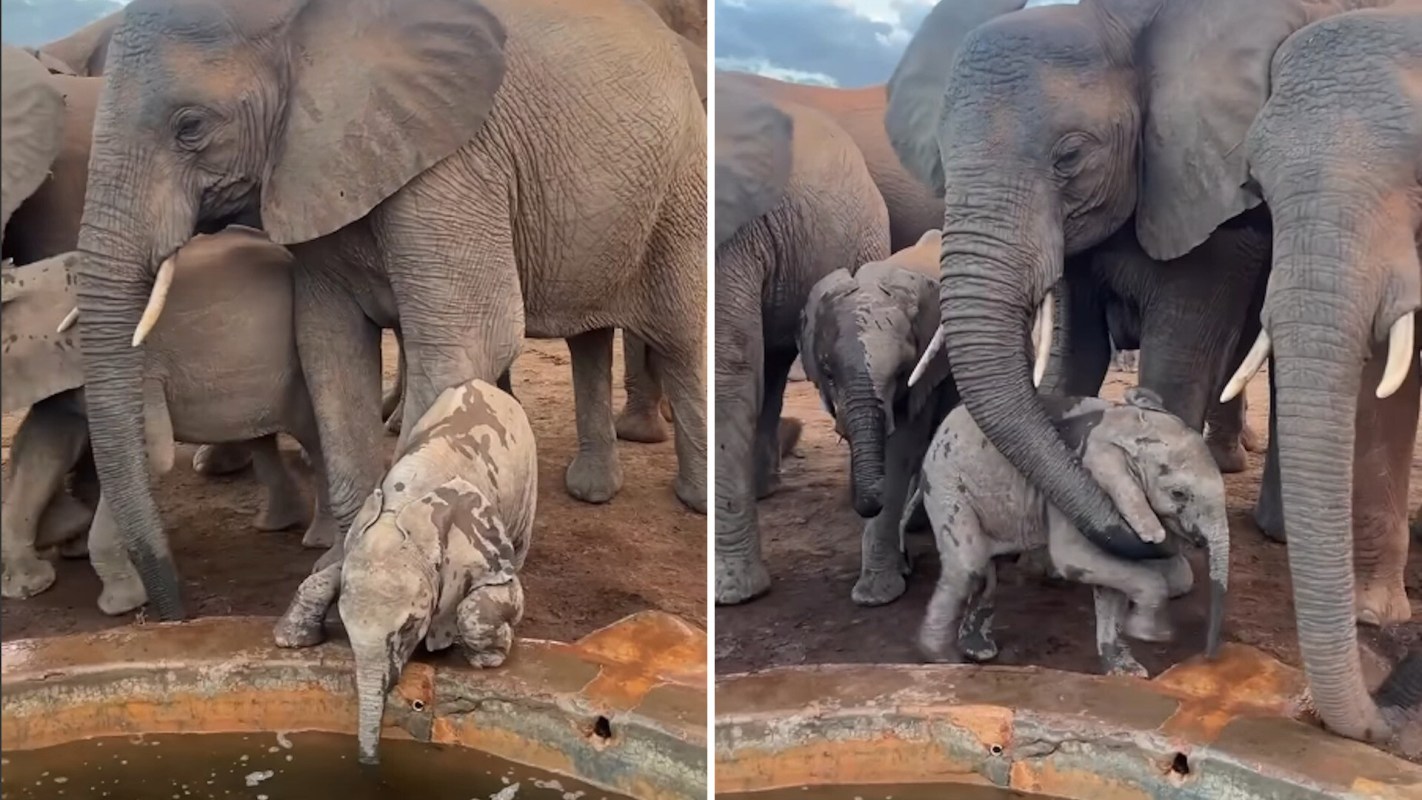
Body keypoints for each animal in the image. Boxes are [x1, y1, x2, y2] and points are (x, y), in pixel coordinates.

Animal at [1, 232, 337, 613]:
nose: (177, 612)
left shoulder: (140, 371)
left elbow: (150, 456)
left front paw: (122, 606)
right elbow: (43, 448)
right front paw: (29, 586)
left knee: (312, 436)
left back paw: (318, 540)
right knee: (259, 435)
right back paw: (275, 524)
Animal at [71, 0, 707, 620]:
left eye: (191, 126)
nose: (169, 611)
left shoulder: (455, 159)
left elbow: (468, 342)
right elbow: (329, 349)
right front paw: (338, 572)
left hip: (680, 184)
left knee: (681, 340)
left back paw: (694, 502)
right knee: (590, 337)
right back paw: (592, 490)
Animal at [274, 377, 537, 766]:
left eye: (410, 627)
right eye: (345, 627)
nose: (369, 763)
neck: (403, 504)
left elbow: (489, 597)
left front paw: (488, 659)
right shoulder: (360, 542)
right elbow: (324, 577)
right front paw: (290, 642)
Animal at [798, 229, 958, 605]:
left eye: (901, 372)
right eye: (828, 372)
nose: (864, 503)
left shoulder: (925, 375)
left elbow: (901, 450)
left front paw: (875, 596)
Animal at [914, 388, 1228, 679]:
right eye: (1178, 494)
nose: (1209, 658)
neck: (1118, 424)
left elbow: (1110, 584)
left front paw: (1127, 672)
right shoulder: (1082, 487)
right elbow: (1075, 558)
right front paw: (1150, 632)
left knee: (987, 571)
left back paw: (977, 650)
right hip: (946, 481)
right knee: (969, 566)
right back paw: (945, 658)